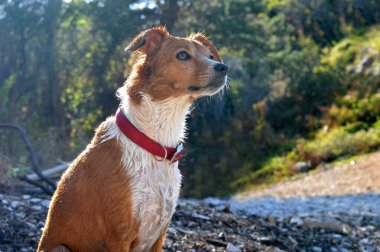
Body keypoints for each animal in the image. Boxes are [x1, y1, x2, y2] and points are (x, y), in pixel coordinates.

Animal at [37, 26, 229, 252]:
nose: (223, 67)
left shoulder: (159, 235)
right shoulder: (118, 236)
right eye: (183, 55)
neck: (155, 144)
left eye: (210, 56)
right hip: (60, 247)